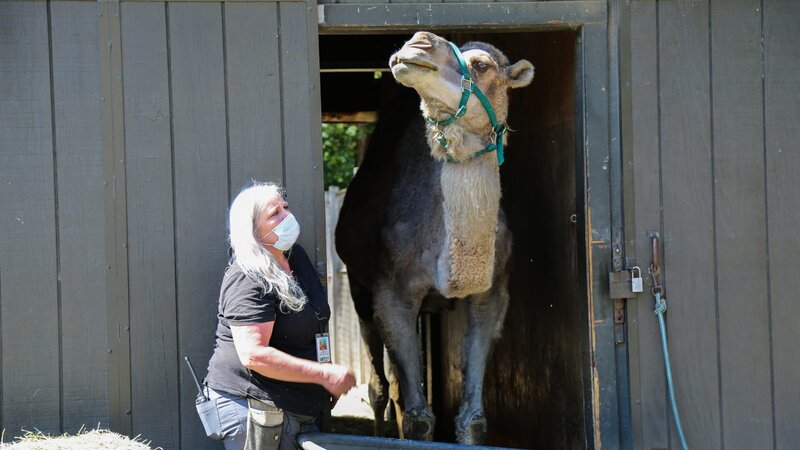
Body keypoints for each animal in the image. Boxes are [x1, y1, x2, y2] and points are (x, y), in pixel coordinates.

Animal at [334, 31, 534, 445]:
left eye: (481, 65)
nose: (418, 43)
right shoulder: (392, 294)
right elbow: (419, 420)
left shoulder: (491, 296)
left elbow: (473, 420)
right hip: (359, 287)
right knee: (379, 387)